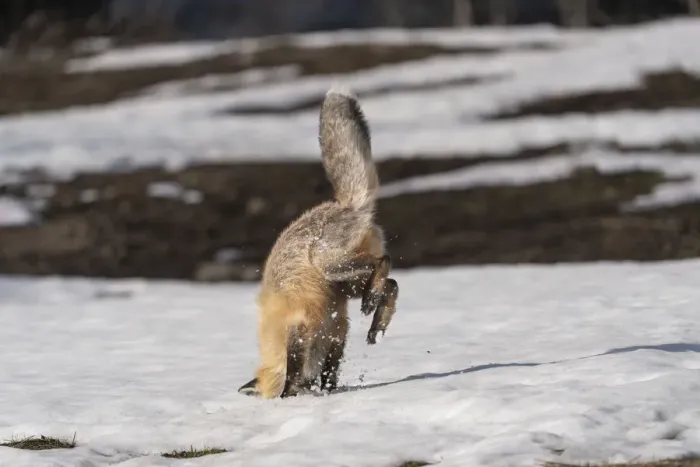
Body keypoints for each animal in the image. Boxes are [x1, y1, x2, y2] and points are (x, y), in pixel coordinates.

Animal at [238, 86, 399, 399]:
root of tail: (345, 205)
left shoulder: (300, 326)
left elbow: (294, 370)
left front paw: (290, 396)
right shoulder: (336, 332)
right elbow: (330, 371)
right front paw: (326, 392)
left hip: (329, 265)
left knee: (382, 263)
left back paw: (372, 302)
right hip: (346, 287)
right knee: (393, 284)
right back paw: (377, 323)